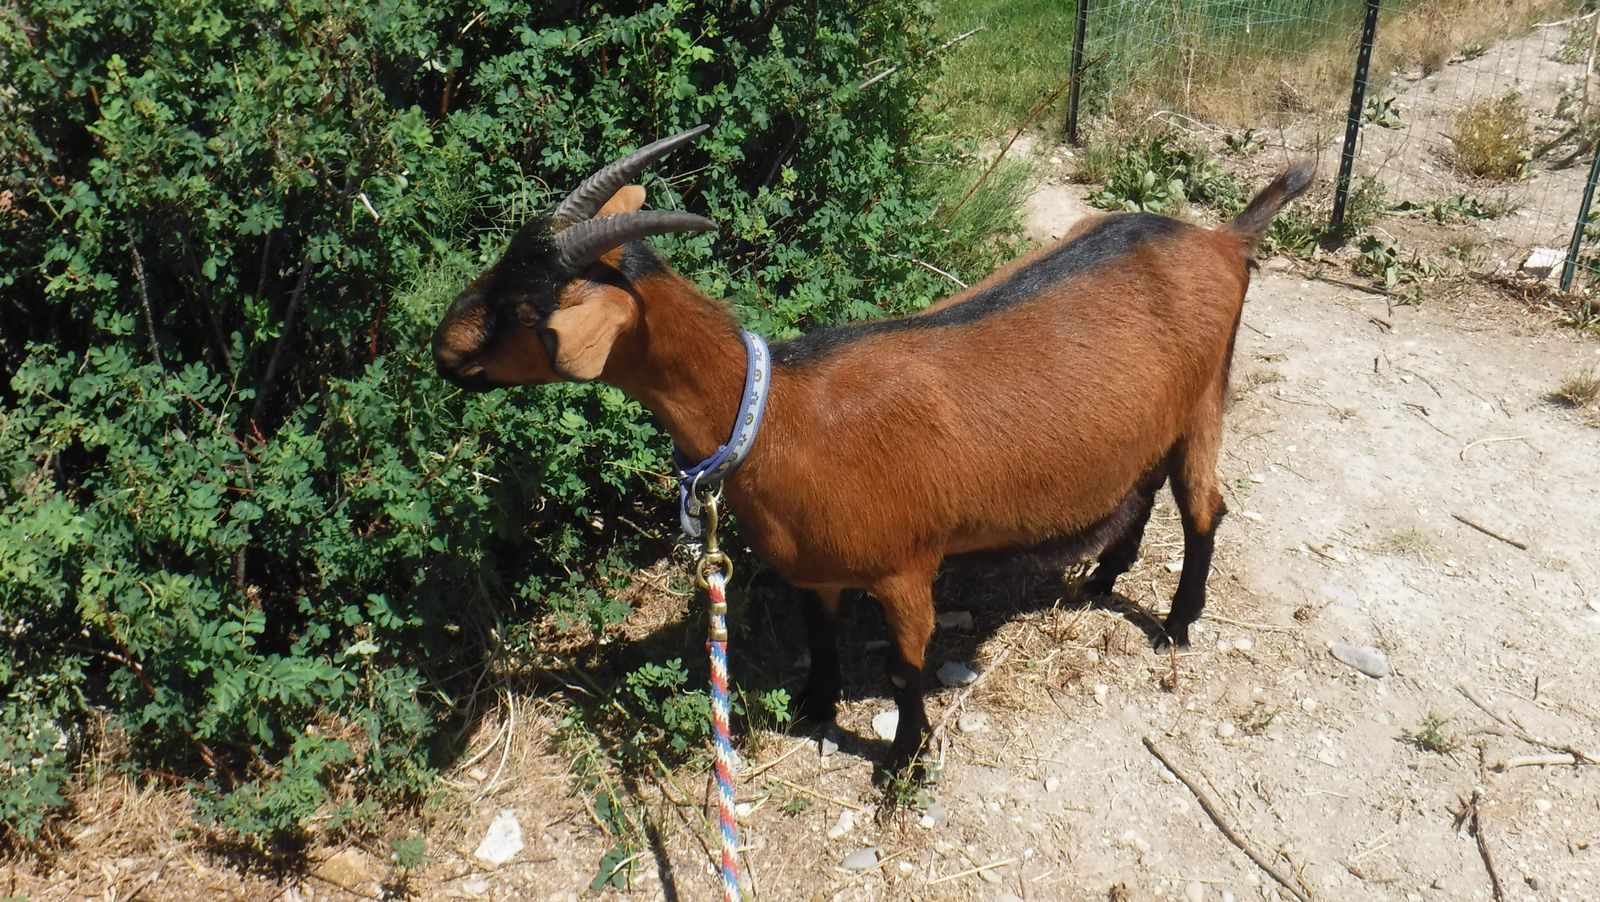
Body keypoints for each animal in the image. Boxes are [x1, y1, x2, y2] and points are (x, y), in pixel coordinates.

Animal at [432, 127, 1314, 771]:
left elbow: (903, 668)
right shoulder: (815, 563)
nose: (441, 348)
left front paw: (903, 760)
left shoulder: (905, 568)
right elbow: (819, 635)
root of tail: (1221, 241)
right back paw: (1104, 576)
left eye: (521, 308)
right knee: (1146, 486)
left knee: (1203, 507)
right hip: (1160, 418)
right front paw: (817, 706)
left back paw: (1176, 623)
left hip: (1206, 400)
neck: (778, 413)